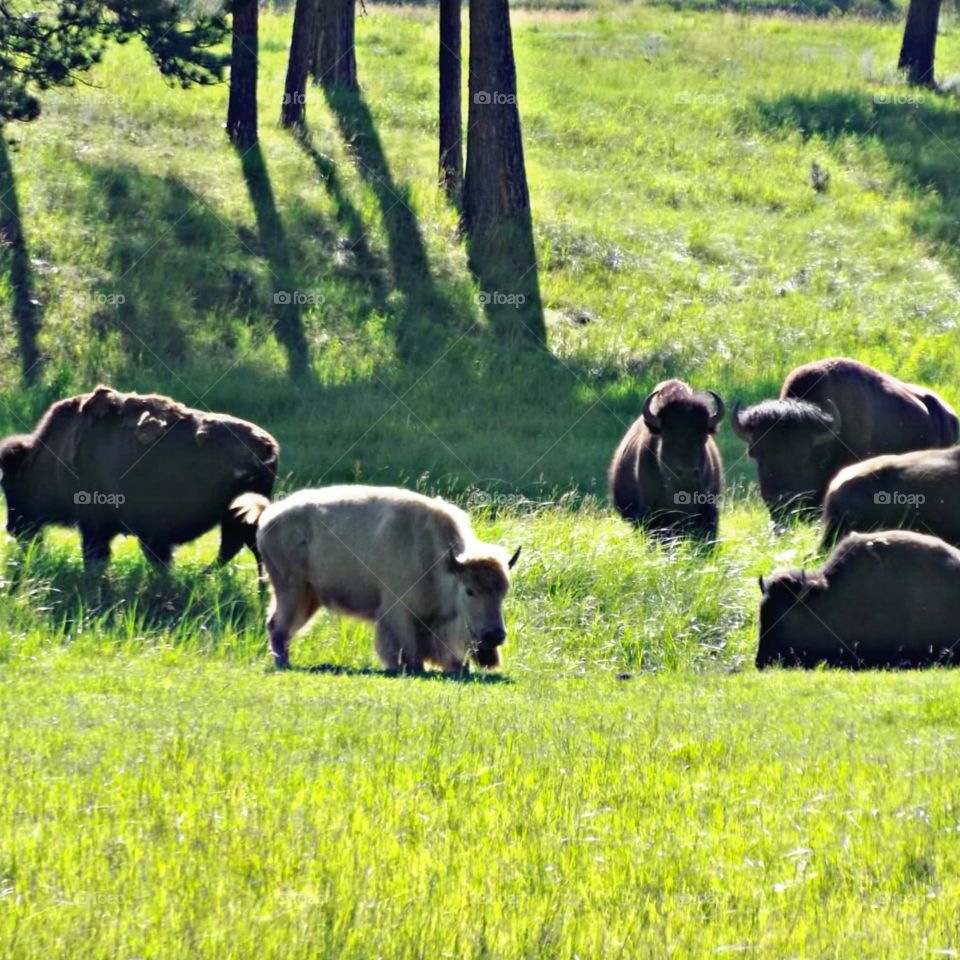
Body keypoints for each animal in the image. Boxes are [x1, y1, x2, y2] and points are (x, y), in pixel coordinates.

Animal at [0, 385, 278, 572]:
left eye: (8, 484)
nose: (11, 528)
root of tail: (268, 446)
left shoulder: (95, 527)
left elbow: (97, 557)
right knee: (235, 551)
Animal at [232, 485, 521, 672]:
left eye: (503, 592)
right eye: (470, 591)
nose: (495, 635)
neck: (443, 564)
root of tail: (268, 515)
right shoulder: (398, 613)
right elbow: (406, 650)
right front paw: (409, 668)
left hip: (309, 596)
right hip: (291, 590)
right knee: (277, 625)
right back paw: (284, 663)